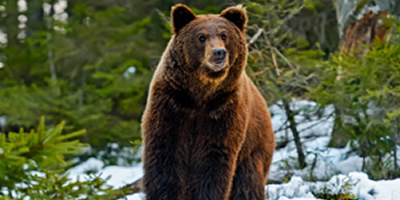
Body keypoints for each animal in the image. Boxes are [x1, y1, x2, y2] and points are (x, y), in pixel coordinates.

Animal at [141, 3, 276, 200]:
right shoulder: (172, 102)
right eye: (201, 37)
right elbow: (164, 154)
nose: (219, 52)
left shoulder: (223, 109)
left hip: (254, 148)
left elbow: (213, 161)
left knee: (247, 183)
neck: (201, 94)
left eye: (224, 35)